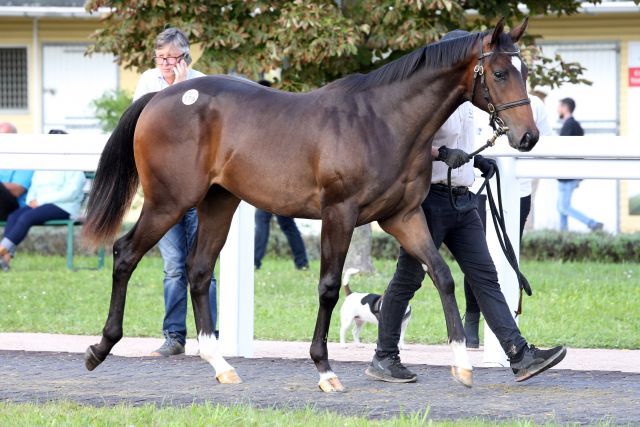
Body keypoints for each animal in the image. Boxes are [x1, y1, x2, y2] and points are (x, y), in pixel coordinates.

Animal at [82, 18, 536, 392]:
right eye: (499, 73)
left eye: (525, 72)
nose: (528, 136)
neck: (382, 121)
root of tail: (160, 98)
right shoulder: (339, 214)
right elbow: (329, 287)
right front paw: (325, 370)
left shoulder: (402, 217)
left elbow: (442, 275)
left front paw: (463, 364)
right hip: (169, 202)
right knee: (125, 253)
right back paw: (100, 348)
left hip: (218, 203)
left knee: (198, 271)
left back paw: (221, 364)